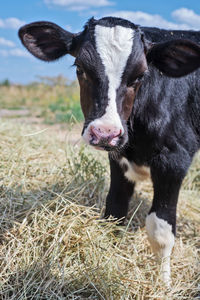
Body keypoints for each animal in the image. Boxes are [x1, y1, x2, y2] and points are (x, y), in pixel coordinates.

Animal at [18, 16, 200, 286]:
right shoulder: (119, 159)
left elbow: (161, 230)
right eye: (80, 68)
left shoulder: (174, 159)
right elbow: (114, 212)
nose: (105, 132)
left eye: (140, 75)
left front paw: (163, 284)